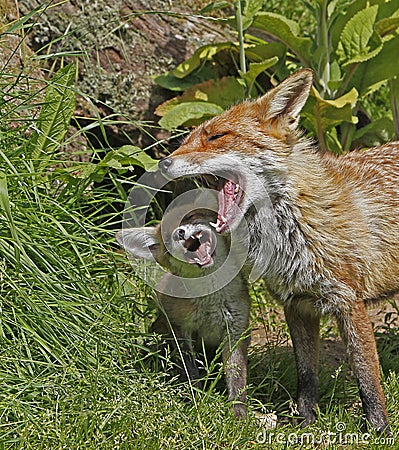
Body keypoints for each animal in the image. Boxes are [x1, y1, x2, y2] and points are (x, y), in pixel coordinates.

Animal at [117, 200, 252, 418]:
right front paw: (196, 401)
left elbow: (236, 376)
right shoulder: (180, 329)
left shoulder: (236, 331)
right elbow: (189, 371)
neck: (212, 301)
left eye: (189, 218)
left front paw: (238, 411)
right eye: (167, 237)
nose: (179, 233)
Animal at [158, 69, 398, 432]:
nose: (162, 164)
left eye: (216, 136)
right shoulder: (297, 303)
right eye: (188, 138)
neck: (294, 233)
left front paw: (378, 429)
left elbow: (366, 375)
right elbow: (306, 373)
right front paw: (305, 420)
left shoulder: (348, 301)